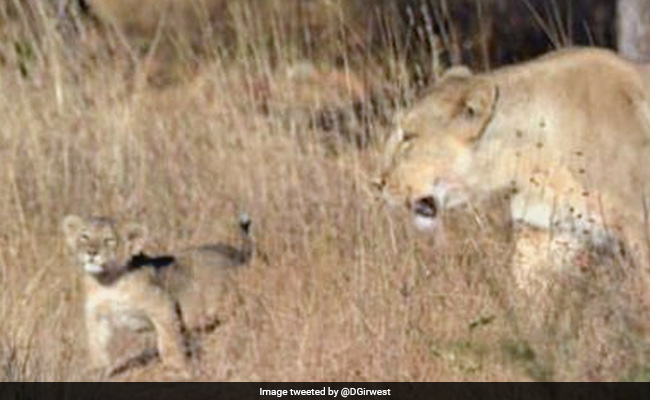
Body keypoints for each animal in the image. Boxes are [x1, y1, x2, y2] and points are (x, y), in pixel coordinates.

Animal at [62, 213, 254, 377]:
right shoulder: (96, 315)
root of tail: (236, 253)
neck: (108, 282)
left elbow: (168, 340)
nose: (91, 252)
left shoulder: (163, 304)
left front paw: (177, 366)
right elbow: (97, 346)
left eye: (109, 240)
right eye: (84, 236)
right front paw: (97, 371)